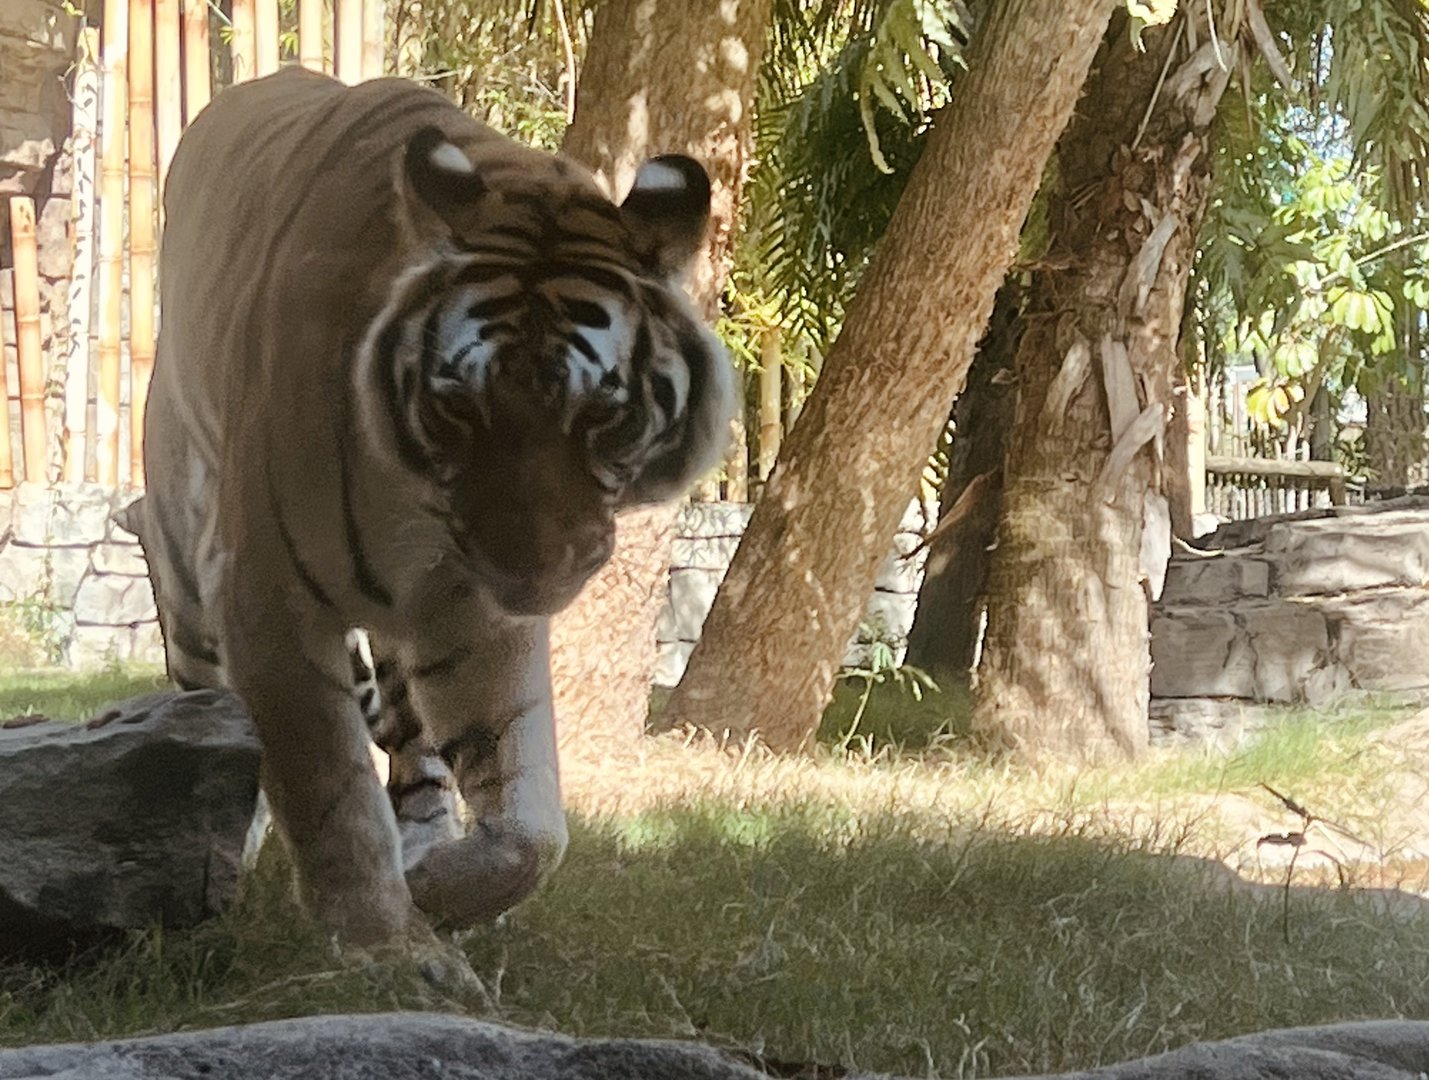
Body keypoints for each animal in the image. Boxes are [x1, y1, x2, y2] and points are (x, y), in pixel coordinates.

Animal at [120, 65, 736, 948]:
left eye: (603, 414)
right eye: (458, 407)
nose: (533, 568)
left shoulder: (469, 613)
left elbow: (529, 828)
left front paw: (440, 894)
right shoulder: (268, 595)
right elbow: (331, 794)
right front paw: (387, 949)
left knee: (414, 755)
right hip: (185, 562)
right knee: (215, 713)